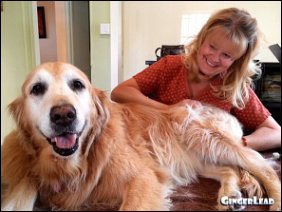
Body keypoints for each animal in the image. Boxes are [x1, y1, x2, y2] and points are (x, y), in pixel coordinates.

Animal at [1, 62, 280, 211]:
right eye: (37, 89)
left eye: (77, 85)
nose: (63, 115)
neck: (70, 166)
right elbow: (20, 193)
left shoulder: (142, 178)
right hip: (197, 156)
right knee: (230, 169)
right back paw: (230, 195)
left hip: (201, 134)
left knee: (263, 166)